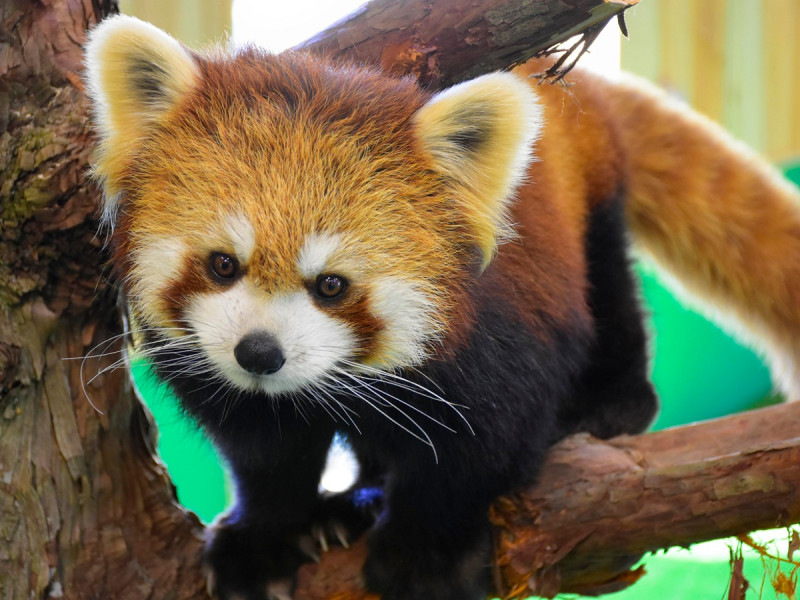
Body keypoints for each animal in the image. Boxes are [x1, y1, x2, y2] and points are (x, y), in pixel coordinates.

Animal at [84, 12, 800, 600]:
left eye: (332, 285)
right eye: (222, 264)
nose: (259, 353)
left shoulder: (504, 332)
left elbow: (481, 447)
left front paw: (424, 556)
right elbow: (262, 450)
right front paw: (264, 541)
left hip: (590, 204)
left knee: (609, 284)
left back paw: (614, 402)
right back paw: (352, 503)